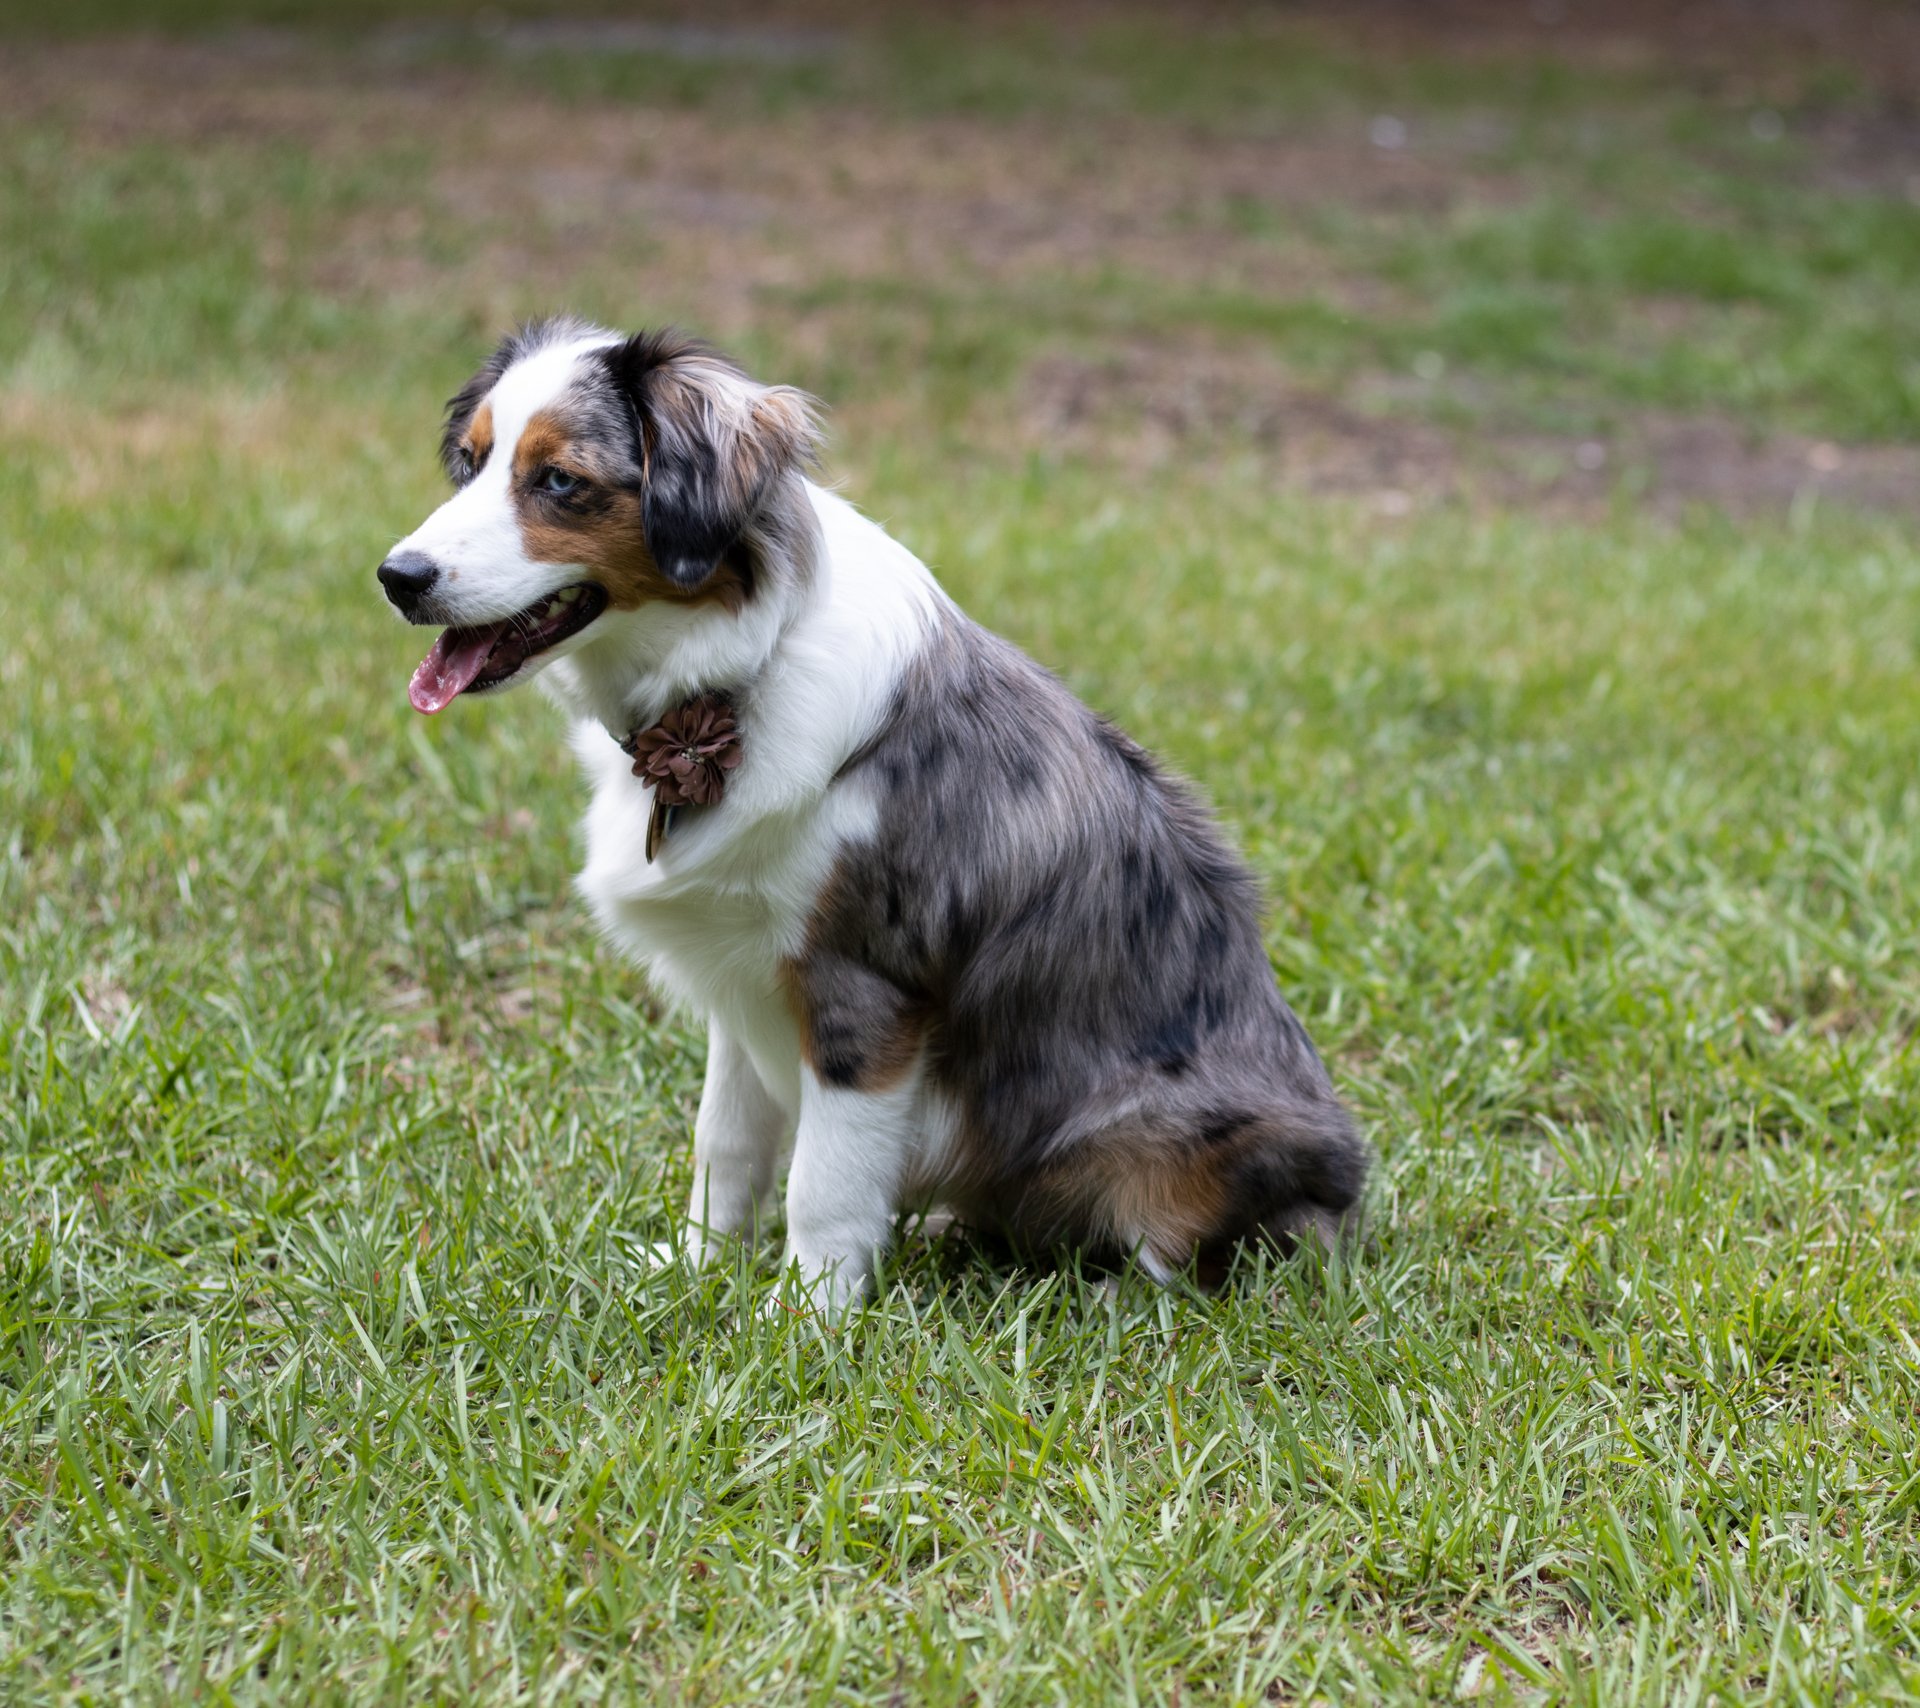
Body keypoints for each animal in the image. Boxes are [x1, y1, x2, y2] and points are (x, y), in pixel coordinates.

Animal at [378, 316, 1367, 1304]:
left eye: (558, 481)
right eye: (470, 463)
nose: (397, 576)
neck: (739, 667)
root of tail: (1346, 1191)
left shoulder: (862, 993)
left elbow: (824, 1179)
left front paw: (806, 1313)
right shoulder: (739, 981)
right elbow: (724, 1143)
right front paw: (701, 1266)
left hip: (1166, 1141)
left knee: (1192, 1260)